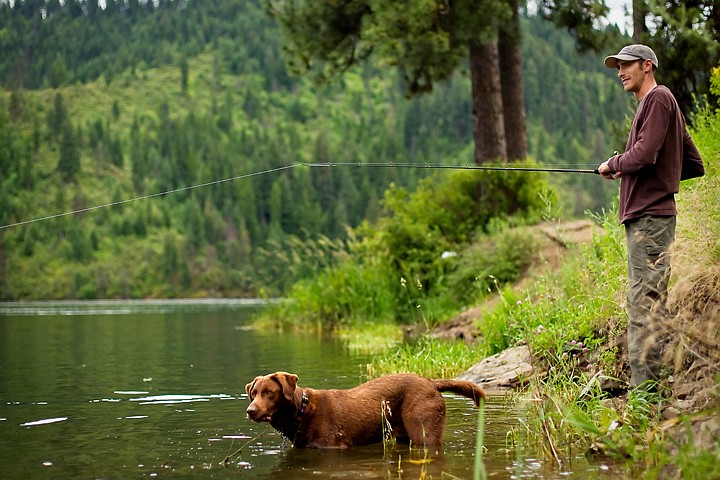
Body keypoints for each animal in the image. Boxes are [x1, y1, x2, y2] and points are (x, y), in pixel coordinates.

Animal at [245, 371, 485, 448]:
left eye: (269, 392)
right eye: (253, 392)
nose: (250, 410)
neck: (302, 412)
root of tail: (431, 382)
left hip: (423, 431)